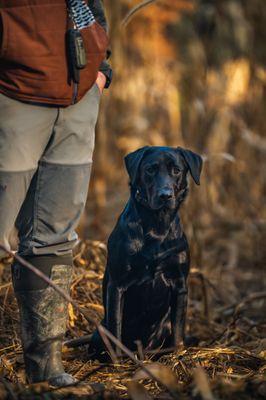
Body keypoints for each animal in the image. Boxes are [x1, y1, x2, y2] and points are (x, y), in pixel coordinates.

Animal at [90, 145, 203, 358]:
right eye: (150, 170)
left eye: (176, 170)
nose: (165, 195)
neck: (156, 226)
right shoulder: (117, 285)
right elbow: (116, 326)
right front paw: (116, 360)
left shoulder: (180, 284)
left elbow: (178, 330)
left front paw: (178, 357)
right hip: (99, 329)